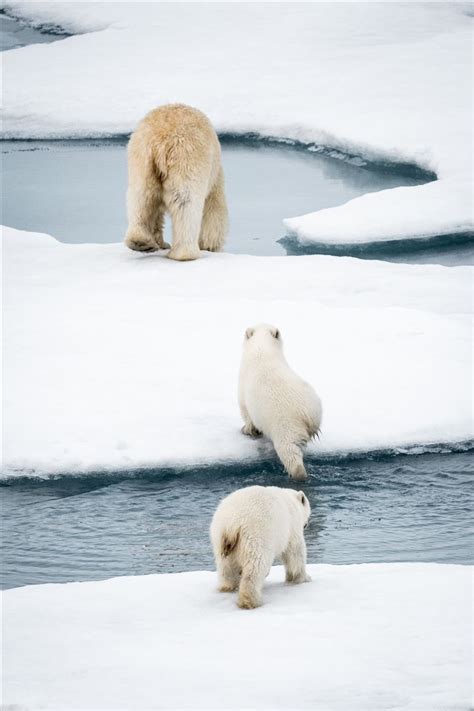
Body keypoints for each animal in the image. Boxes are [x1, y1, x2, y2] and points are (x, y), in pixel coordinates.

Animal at [124, 103, 228, 262]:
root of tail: (161, 142)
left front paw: (160, 243)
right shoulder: (215, 178)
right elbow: (214, 209)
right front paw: (210, 246)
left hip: (142, 159)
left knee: (141, 197)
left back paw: (140, 242)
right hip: (186, 159)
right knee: (186, 202)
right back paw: (184, 253)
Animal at [237, 324, 322, 482]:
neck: (262, 349)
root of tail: (308, 416)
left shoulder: (244, 386)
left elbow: (245, 411)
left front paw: (247, 430)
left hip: (286, 425)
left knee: (289, 451)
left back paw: (298, 474)